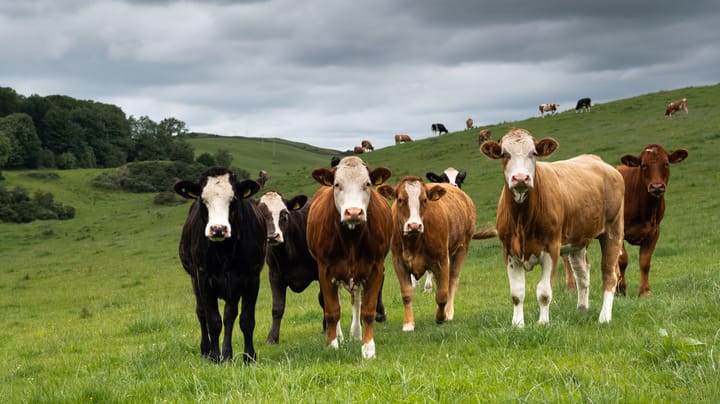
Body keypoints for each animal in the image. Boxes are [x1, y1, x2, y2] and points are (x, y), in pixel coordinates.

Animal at [174, 167, 266, 362]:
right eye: (203, 200)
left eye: (234, 199)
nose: (218, 229)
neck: (225, 251)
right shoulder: (204, 278)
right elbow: (213, 321)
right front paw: (215, 357)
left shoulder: (251, 278)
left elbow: (246, 320)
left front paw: (249, 356)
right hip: (194, 279)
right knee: (201, 313)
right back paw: (206, 351)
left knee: (230, 315)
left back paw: (228, 354)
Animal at [306, 156, 393, 359]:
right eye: (337, 184)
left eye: (367, 184)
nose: (354, 212)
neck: (351, 239)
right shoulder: (325, 270)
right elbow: (332, 310)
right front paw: (332, 345)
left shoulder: (375, 269)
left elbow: (367, 310)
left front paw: (368, 347)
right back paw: (340, 336)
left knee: (357, 301)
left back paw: (356, 333)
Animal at [378, 177, 477, 331]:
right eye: (400, 199)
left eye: (424, 200)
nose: (414, 225)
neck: (413, 242)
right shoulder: (398, 262)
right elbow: (407, 294)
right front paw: (408, 324)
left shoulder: (442, 260)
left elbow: (442, 294)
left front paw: (441, 317)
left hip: (462, 248)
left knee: (452, 280)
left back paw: (449, 312)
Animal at [480, 128, 624, 327]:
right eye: (504, 154)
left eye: (533, 153)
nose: (520, 178)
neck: (522, 220)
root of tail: (599, 161)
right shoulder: (508, 251)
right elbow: (517, 293)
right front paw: (518, 325)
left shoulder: (552, 248)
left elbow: (544, 292)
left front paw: (543, 322)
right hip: (577, 240)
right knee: (582, 274)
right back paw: (581, 309)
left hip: (613, 230)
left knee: (609, 273)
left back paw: (604, 317)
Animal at [616, 145, 688, 296]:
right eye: (643, 165)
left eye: (666, 163)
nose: (657, 187)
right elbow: (622, 260)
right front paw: (620, 289)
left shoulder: (654, 231)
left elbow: (645, 261)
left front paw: (645, 291)